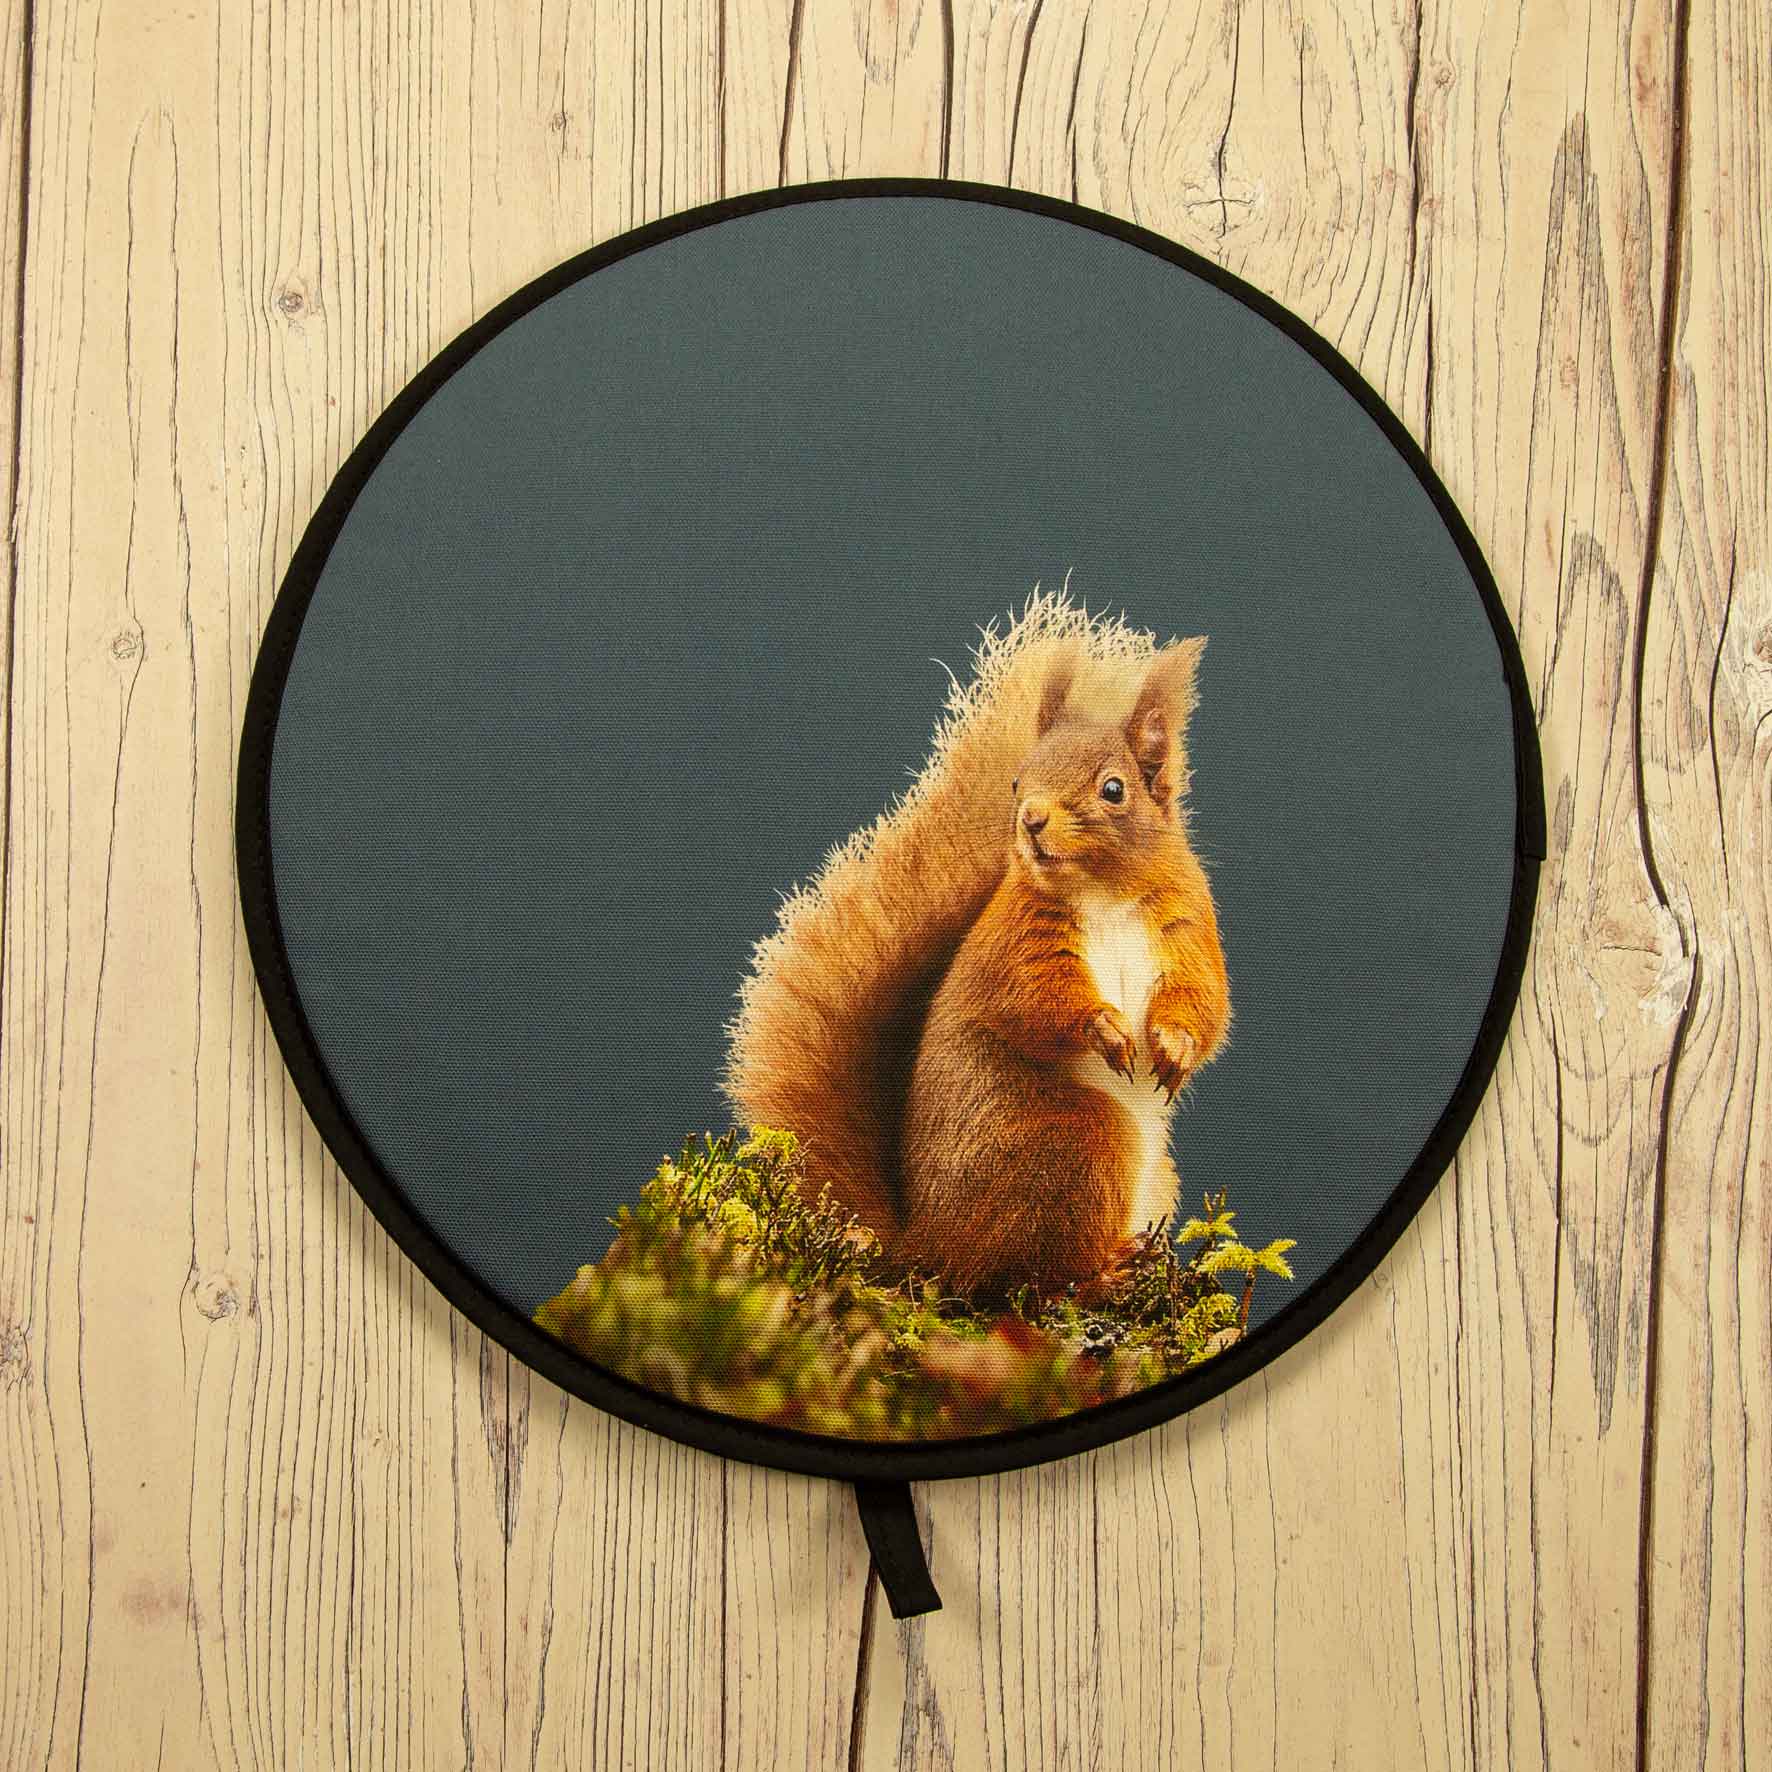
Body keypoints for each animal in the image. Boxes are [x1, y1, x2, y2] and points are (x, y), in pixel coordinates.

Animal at [723, 591, 1230, 1301]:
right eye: (1018, 780)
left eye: (1114, 788)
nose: (1032, 819)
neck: (1101, 889)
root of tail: (930, 1244)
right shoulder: (1020, 942)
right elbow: (1038, 1000)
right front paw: (1104, 1028)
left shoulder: (1187, 927)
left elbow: (1202, 999)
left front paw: (1175, 1048)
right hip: (1077, 1148)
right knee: (1040, 1276)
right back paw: (1107, 1274)